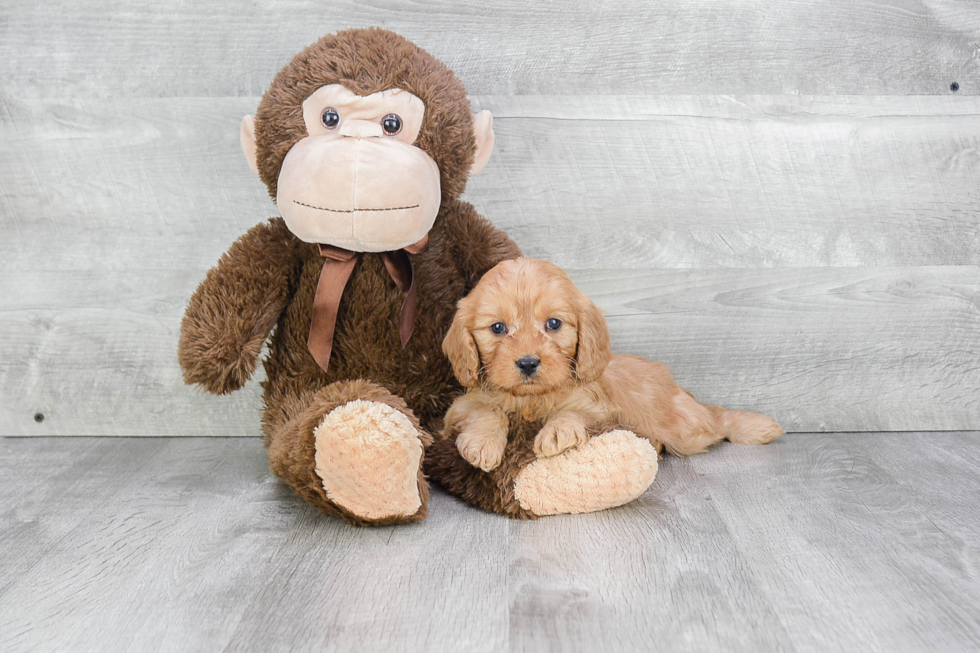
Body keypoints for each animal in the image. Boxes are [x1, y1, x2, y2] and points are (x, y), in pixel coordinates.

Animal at [444, 258, 780, 472]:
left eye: (553, 323)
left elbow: (572, 412)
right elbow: (486, 411)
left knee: (716, 421)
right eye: (498, 328)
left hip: (685, 430)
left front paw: (558, 432)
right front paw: (483, 443)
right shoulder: (462, 404)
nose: (528, 363)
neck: (531, 400)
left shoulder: (597, 409)